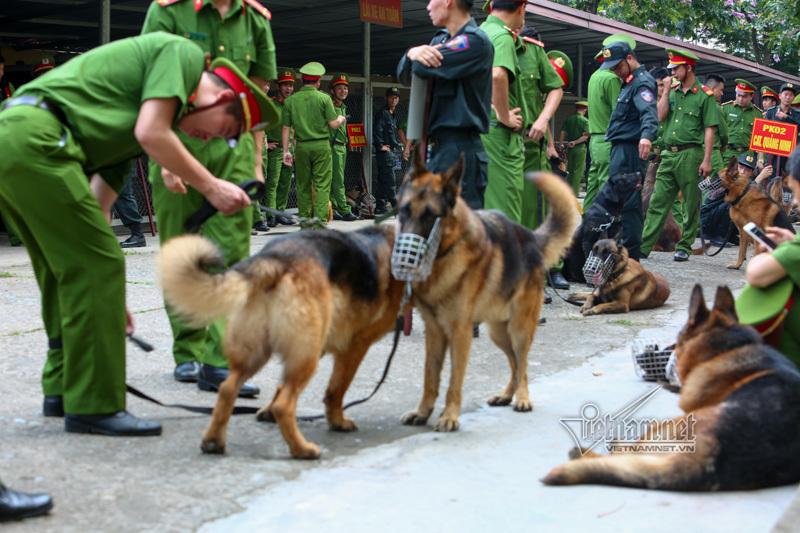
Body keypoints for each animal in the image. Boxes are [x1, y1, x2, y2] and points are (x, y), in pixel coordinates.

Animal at [159, 225, 406, 458]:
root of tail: (275, 259)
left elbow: (282, 386)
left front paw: (266, 412)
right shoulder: (355, 346)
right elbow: (337, 389)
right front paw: (337, 421)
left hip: (260, 353)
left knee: (227, 388)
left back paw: (213, 441)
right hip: (306, 356)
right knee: (285, 404)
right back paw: (301, 449)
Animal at [396, 151, 580, 432]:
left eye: (430, 216)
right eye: (404, 210)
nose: (405, 259)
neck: (444, 256)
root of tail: (531, 237)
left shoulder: (460, 333)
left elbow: (454, 381)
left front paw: (449, 416)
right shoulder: (435, 333)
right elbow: (430, 378)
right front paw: (423, 412)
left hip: (519, 329)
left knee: (523, 364)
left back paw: (522, 398)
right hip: (498, 332)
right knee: (514, 364)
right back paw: (506, 395)